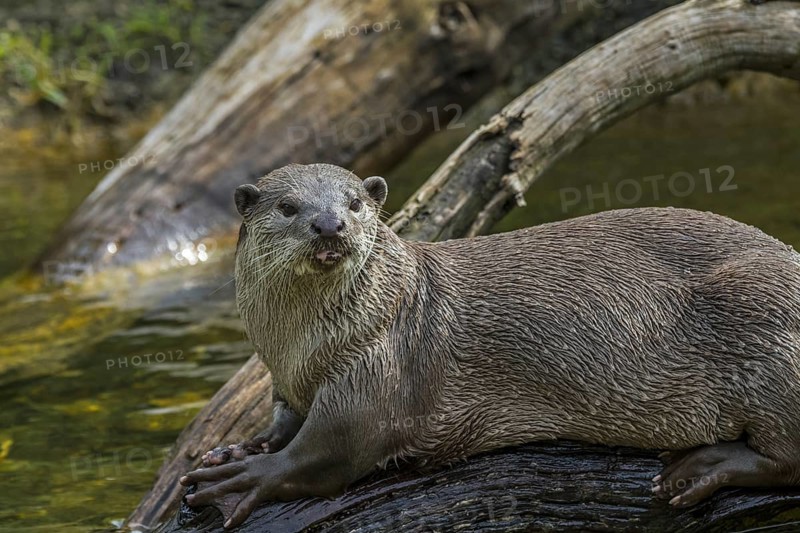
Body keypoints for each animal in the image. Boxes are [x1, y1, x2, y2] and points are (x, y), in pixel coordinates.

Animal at [181, 163, 800, 529]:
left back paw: (703, 467)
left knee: (787, 458)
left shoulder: (380, 365)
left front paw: (245, 477)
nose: (330, 224)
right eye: (288, 208)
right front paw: (237, 449)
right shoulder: (287, 382)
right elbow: (285, 424)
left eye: (355, 203)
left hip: (767, 329)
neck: (300, 349)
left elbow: (331, 449)